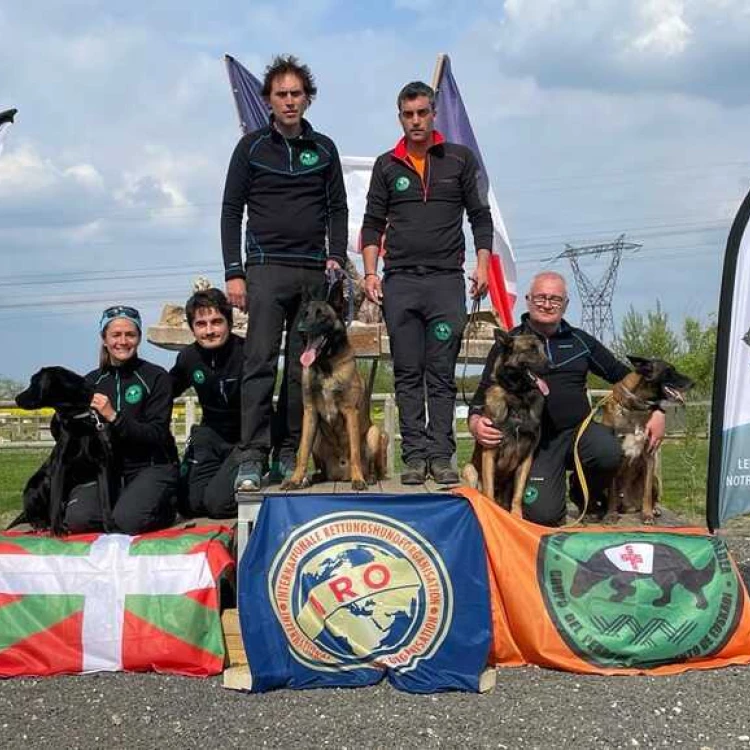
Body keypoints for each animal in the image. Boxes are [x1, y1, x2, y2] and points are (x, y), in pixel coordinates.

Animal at [282, 274, 388, 490]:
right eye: (305, 314)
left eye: (322, 316)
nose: (301, 330)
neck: (325, 366)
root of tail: (340, 475)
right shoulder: (310, 413)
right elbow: (302, 452)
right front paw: (296, 479)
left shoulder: (350, 411)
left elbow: (355, 452)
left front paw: (358, 479)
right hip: (317, 439)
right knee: (319, 466)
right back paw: (314, 477)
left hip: (375, 434)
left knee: (373, 466)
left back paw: (368, 477)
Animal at [462, 330, 548, 516]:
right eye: (531, 350)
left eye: (543, 350)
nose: (552, 365)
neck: (518, 398)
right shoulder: (490, 452)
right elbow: (488, 492)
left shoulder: (526, 458)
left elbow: (518, 494)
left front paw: (516, 517)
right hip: (469, 469)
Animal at [604, 356, 696, 524]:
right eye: (669, 370)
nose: (693, 382)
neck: (635, 410)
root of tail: (629, 506)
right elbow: (612, 492)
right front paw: (610, 514)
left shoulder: (649, 456)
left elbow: (646, 493)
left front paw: (647, 515)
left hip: (655, 479)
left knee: (652, 496)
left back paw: (654, 509)